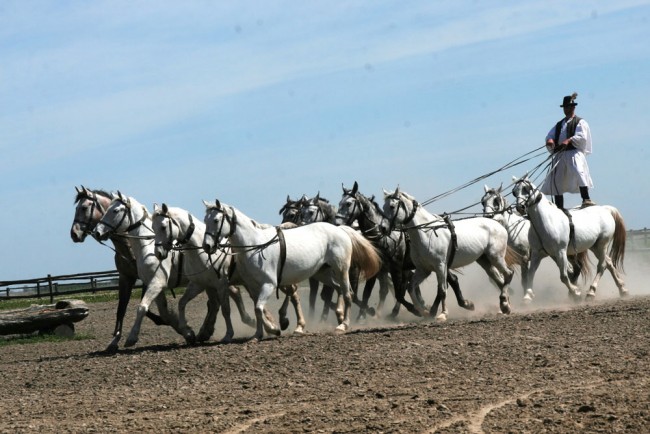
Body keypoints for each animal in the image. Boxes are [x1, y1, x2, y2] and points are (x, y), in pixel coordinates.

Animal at [202, 200, 380, 340]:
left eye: (216, 220)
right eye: (205, 219)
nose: (207, 246)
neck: (255, 245)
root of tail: (340, 229)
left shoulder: (269, 284)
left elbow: (259, 308)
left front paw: (271, 329)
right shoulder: (253, 286)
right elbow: (258, 309)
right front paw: (260, 333)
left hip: (341, 269)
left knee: (348, 293)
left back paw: (343, 325)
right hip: (322, 273)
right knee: (339, 290)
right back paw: (339, 316)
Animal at [380, 186, 516, 318]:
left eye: (392, 206)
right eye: (383, 207)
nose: (383, 228)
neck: (427, 233)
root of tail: (497, 224)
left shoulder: (440, 266)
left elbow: (442, 289)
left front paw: (442, 314)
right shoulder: (423, 269)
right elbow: (411, 287)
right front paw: (423, 311)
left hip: (496, 257)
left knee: (509, 274)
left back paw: (504, 303)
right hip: (484, 260)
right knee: (500, 281)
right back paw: (505, 307)